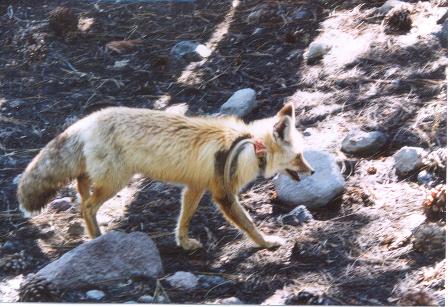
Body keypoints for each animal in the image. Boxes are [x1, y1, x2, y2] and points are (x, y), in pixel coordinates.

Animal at [16, 103, 312, 250]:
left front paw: (184, 243)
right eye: (298, 156)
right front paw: (267, 243)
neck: (249, 148)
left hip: (103, 175)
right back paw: (97, 236)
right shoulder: (223, 194)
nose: (313, 171)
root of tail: (88, 120)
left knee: (81, 185)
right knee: (85, 206)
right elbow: (249, 225)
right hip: (116, 181)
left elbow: (184, 218)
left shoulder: (195, 186)